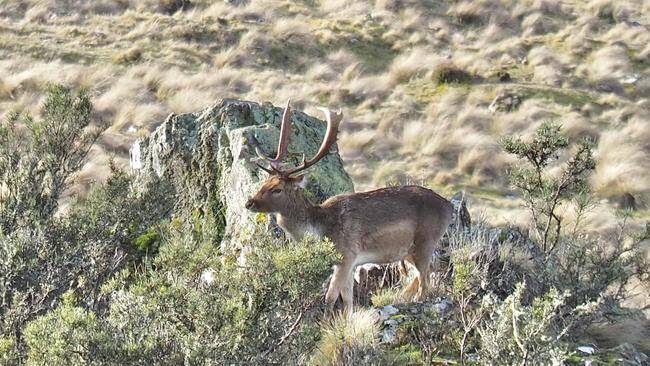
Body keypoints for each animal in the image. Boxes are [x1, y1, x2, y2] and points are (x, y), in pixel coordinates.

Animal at [243, 99, 450, 314]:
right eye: (264, 182)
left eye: (277, 189)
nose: (249, 203)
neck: (321, 228)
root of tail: (449, 206)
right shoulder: (351, 264)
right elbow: (347, 299)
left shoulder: (346, 255)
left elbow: (330, 297)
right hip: (408, 252)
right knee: (422, 276)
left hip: (426, 242)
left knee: (426, 280)